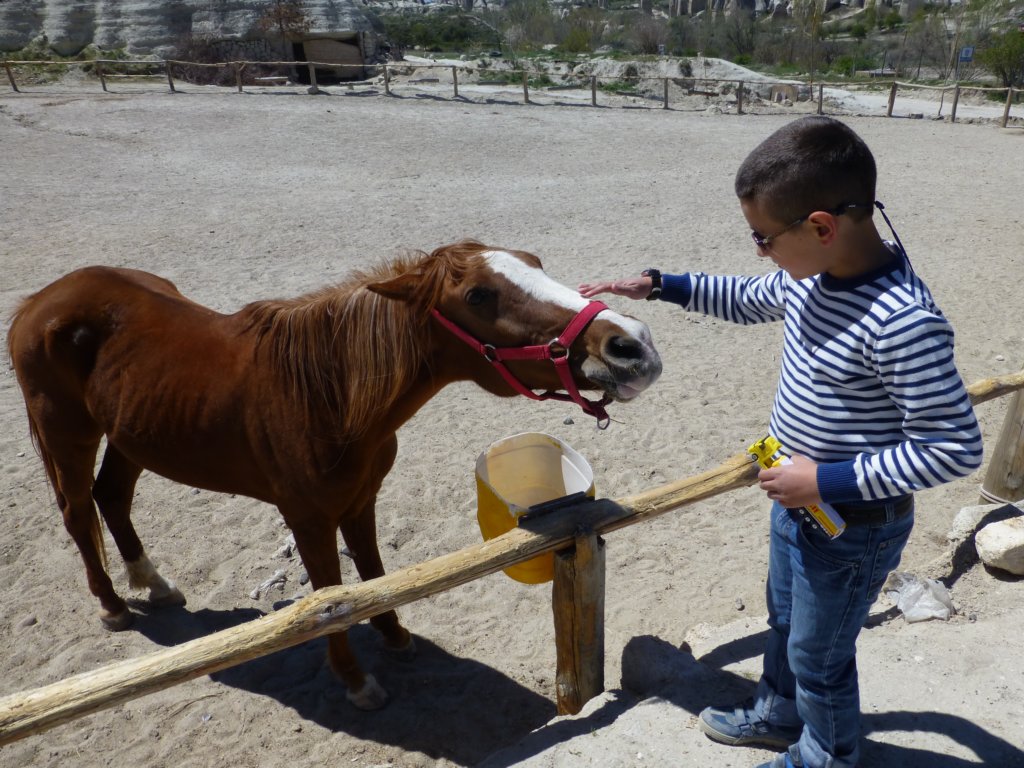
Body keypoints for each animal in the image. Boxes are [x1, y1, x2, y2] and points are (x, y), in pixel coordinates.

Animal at [6, 240, 663, 708]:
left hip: (129, 435)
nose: (632, 344)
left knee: (112, 498)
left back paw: (155, 583)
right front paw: (355, 680)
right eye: (478, 295)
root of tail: (39, 301)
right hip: (68, 434)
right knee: (78, 511)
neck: (329, 396)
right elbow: (329, 596)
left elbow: (372, 573)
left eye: (535, 264)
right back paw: (113, 603)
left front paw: (395, 636)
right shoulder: (308, 518)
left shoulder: (361, 500)